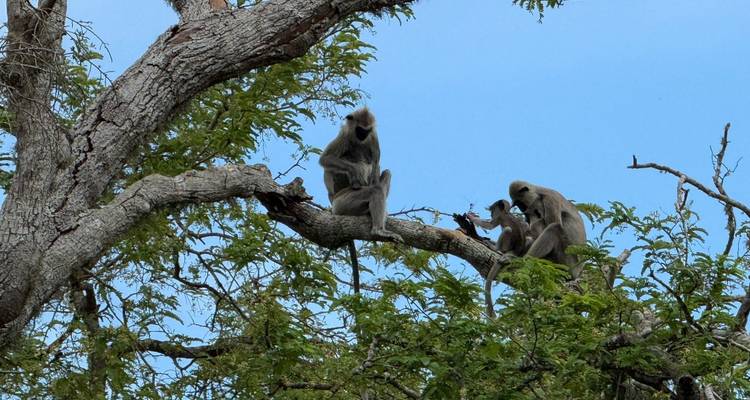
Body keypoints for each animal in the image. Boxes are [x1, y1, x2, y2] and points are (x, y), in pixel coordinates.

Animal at [319, 108, 402, 293]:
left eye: (367, 130)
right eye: (359, 130)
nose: (363, 136)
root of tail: (333, 202)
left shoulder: (374, 138)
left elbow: (377, 164)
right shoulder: (345, 133)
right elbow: (325, 159)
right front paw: (355, 171)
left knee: (384, 175)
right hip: (343, 202)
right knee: (372, 187)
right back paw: (378, 230)